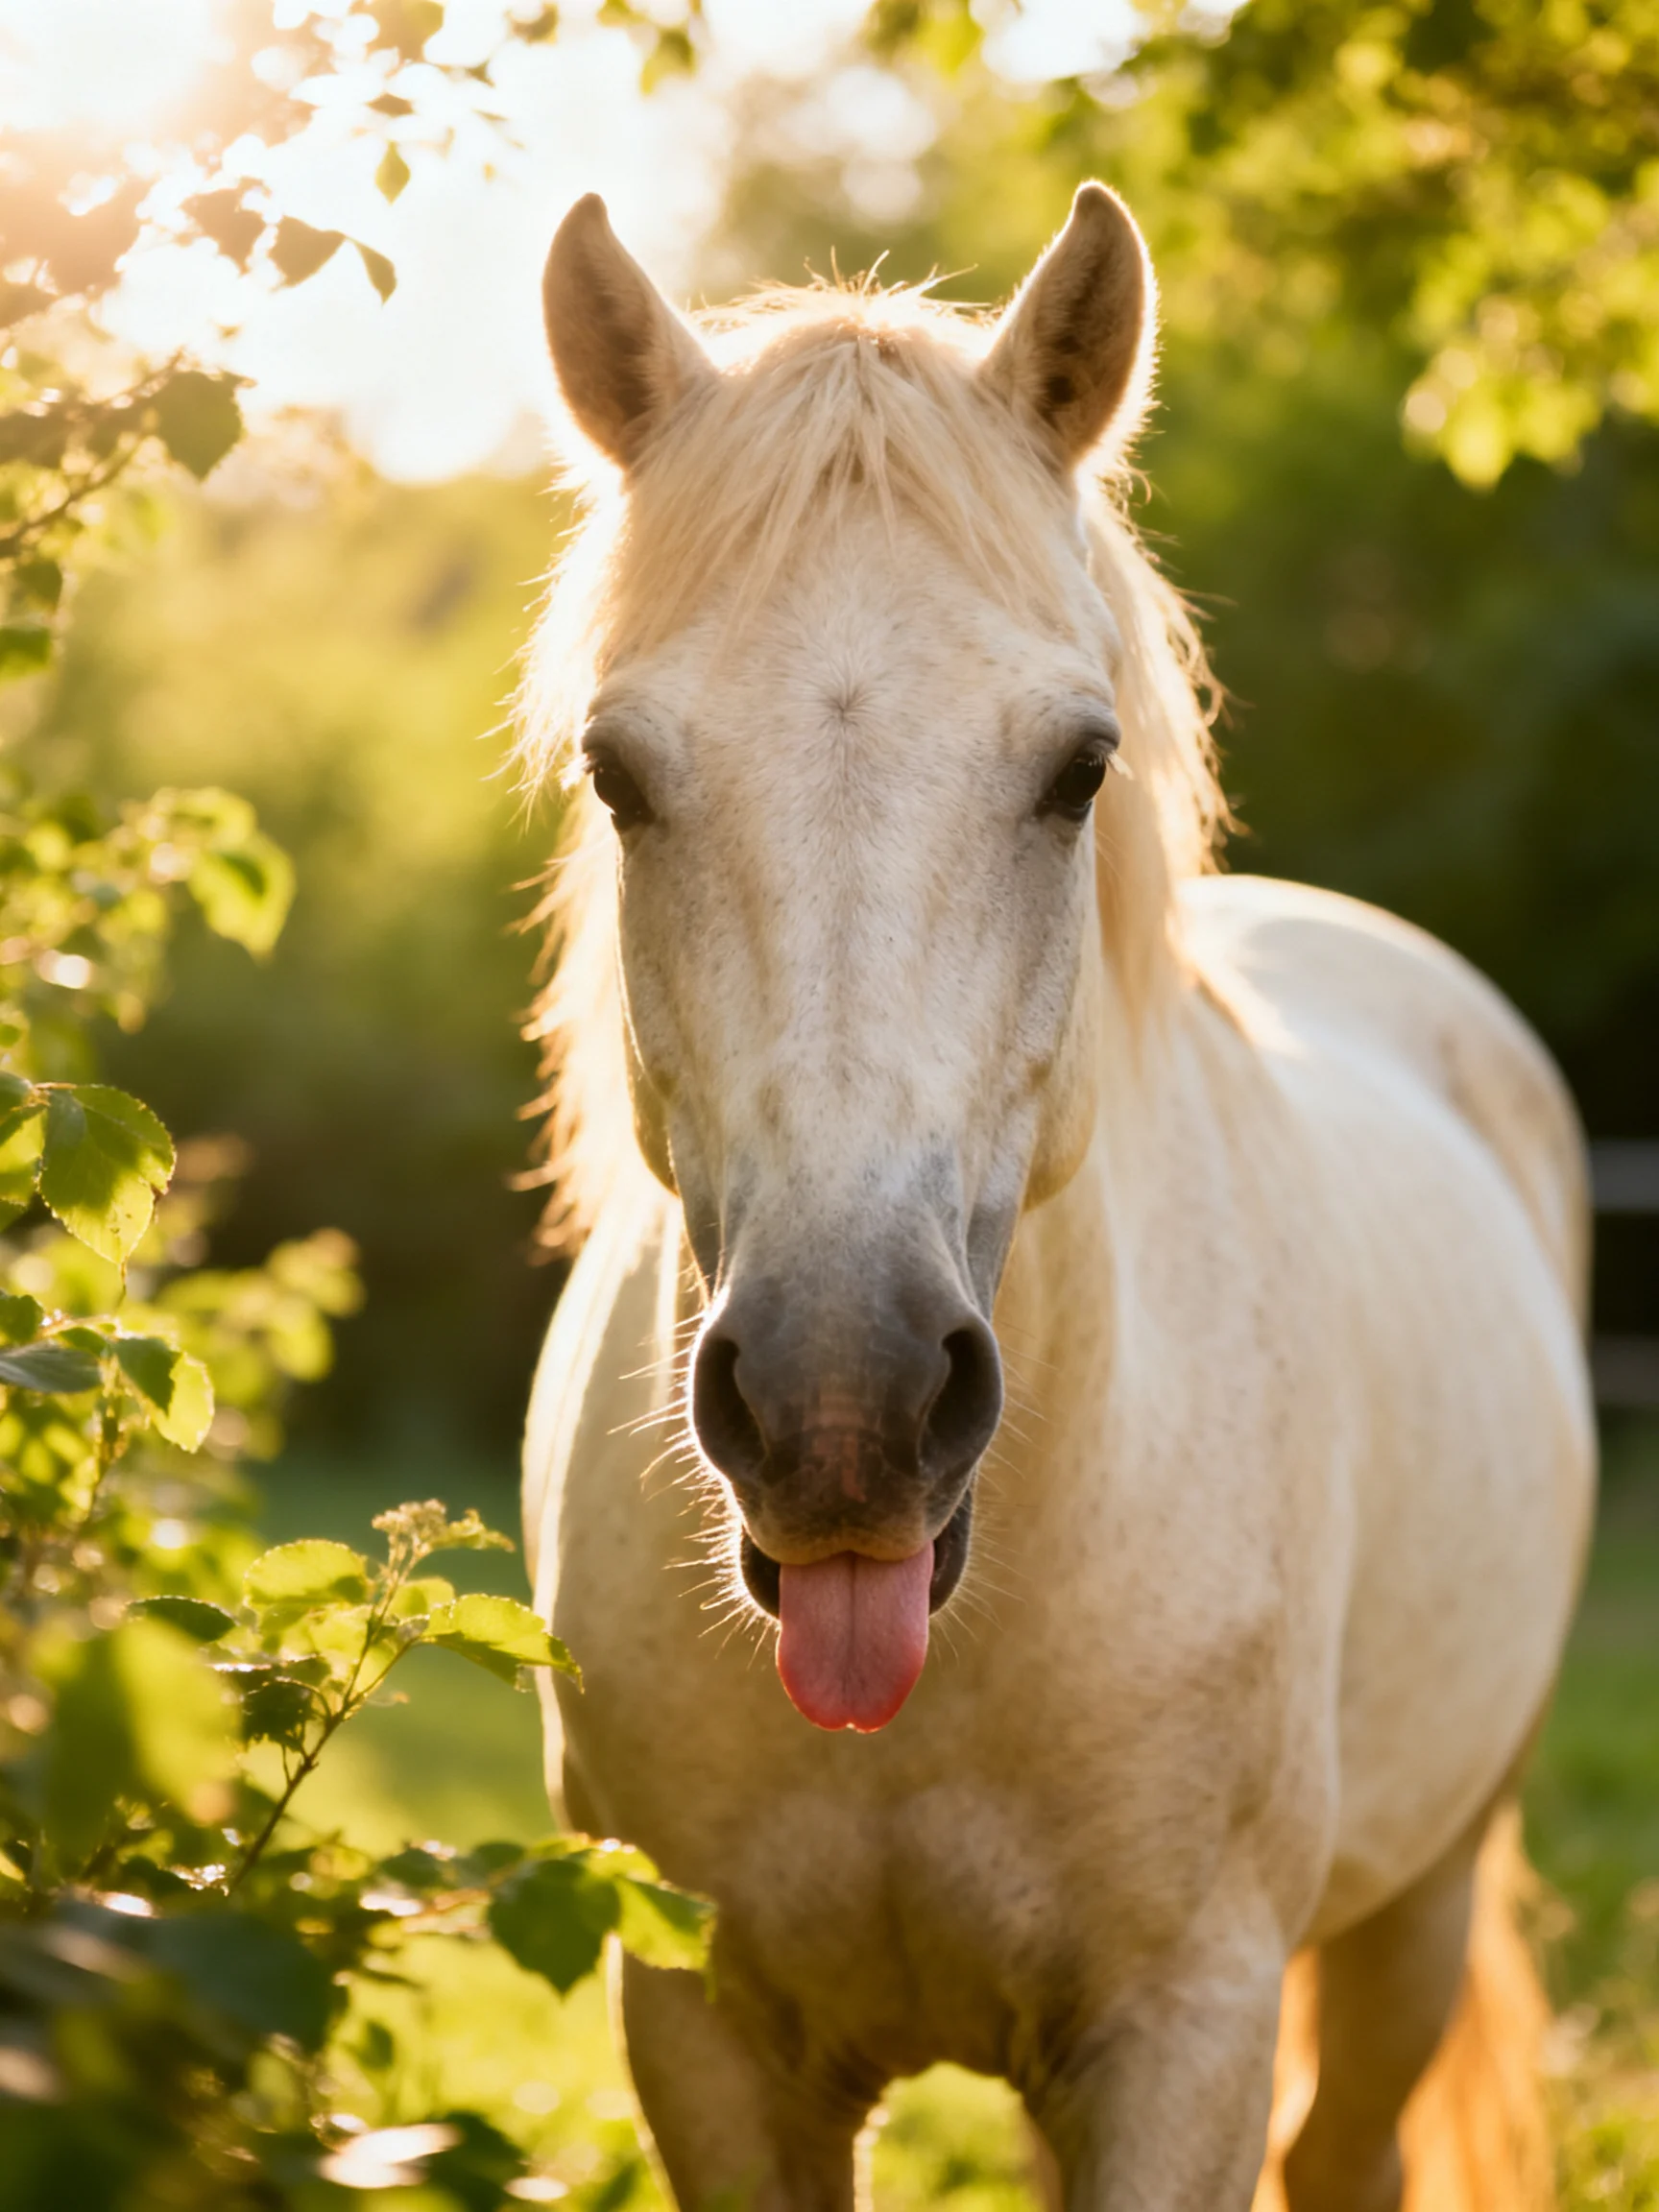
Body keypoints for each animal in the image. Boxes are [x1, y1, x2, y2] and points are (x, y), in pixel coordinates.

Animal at [518, 183, 1595, 2212]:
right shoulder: (702, 2039)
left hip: (1411, 1909)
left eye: (1074, 767)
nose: (841, 1407)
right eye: (619, 774)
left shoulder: (1183, 2037)